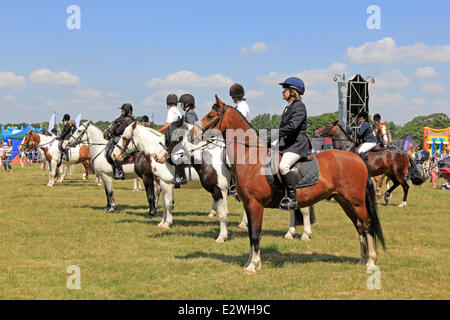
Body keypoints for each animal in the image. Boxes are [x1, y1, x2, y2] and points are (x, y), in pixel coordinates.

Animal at [197, 96, 384, 274]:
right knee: (359, 226)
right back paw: (362, 259)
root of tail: (357, 158)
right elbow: (251, 234)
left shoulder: (255, 205)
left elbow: (255, 234)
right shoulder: (248, 205)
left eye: (211, 116)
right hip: (345, 201)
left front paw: (254, 266)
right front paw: (250, 263)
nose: (194, 132)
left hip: (356, 202)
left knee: (367, 226)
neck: (251, 158)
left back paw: (371, 262)